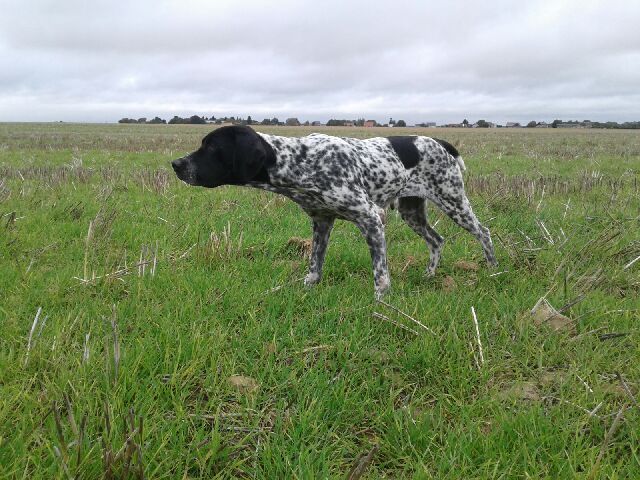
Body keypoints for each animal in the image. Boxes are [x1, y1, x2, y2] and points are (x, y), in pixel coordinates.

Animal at [170, 124, 496, 296]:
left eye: (212, 148)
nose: (176, 164)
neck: (298, 162)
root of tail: (442, 142)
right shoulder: (322, 221)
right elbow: (315, 264)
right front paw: (306, 288)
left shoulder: (371, 218)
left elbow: (380, 273)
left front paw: (382, 302)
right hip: (412, 211)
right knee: (437, 240)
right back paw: (429, 275)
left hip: (453, 201)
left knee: (484, 232)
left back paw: (493, 269)